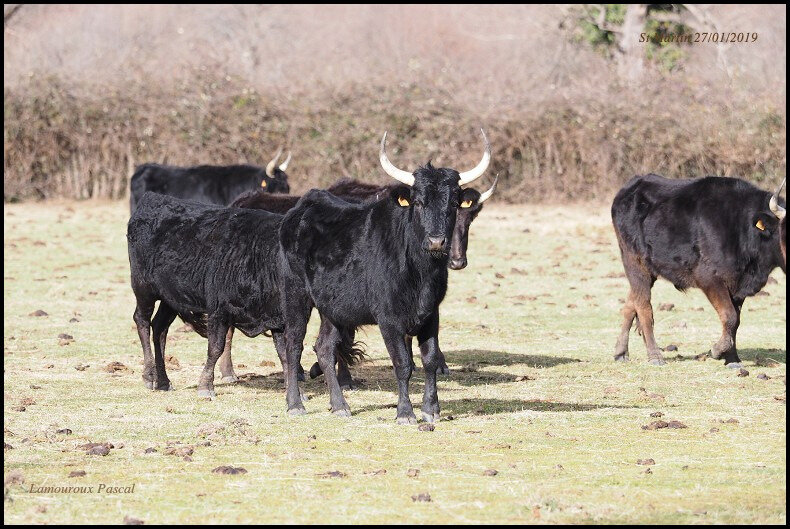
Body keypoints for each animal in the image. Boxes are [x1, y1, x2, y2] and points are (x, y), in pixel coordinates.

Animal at [127, 191, 290, 396]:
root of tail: (151, 199)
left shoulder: (277, 318)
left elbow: (284, 353)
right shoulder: (218, 311)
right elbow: (215, 348)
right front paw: (205, 386)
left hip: (170, 298)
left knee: (159, 328)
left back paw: (163, 381)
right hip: (144, 289)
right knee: (142, 320)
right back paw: (149, 376)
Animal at [612, 175, 784, 366]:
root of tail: (632, 186)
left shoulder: (738, 286)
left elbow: (735, 321)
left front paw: (732, 358)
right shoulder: (709, 279)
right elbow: (729, 316)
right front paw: (717, 351)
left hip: (649, 272)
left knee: (630, 304)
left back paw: (621, 352)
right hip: (635, 264)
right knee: (643, 307)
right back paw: (655, 356)